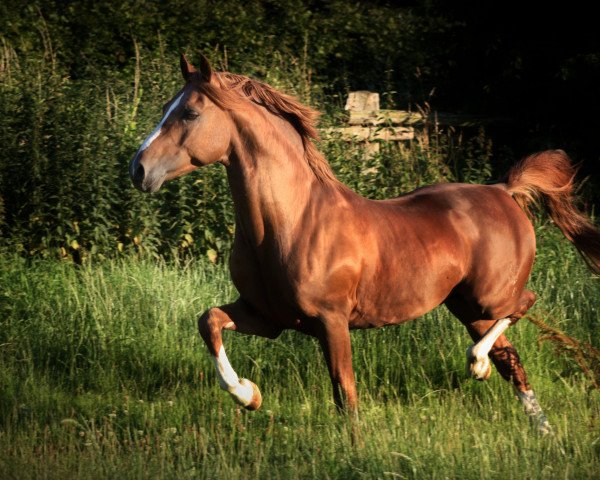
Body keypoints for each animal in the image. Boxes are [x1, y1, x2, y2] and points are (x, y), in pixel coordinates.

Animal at [130, 54, 600, 434]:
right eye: (168, 108)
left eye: (190, 113)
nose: (138, 169)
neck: (291, 223)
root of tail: (504, 190)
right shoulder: (267, 317)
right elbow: (208, 321)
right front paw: (249, 395)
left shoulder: (331, 321)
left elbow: (345, 393)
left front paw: (352, 447)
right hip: (468, 307)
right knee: (512, 361)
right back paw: (538, 427)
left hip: (488, 298)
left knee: (525, 305)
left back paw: (476, 364)